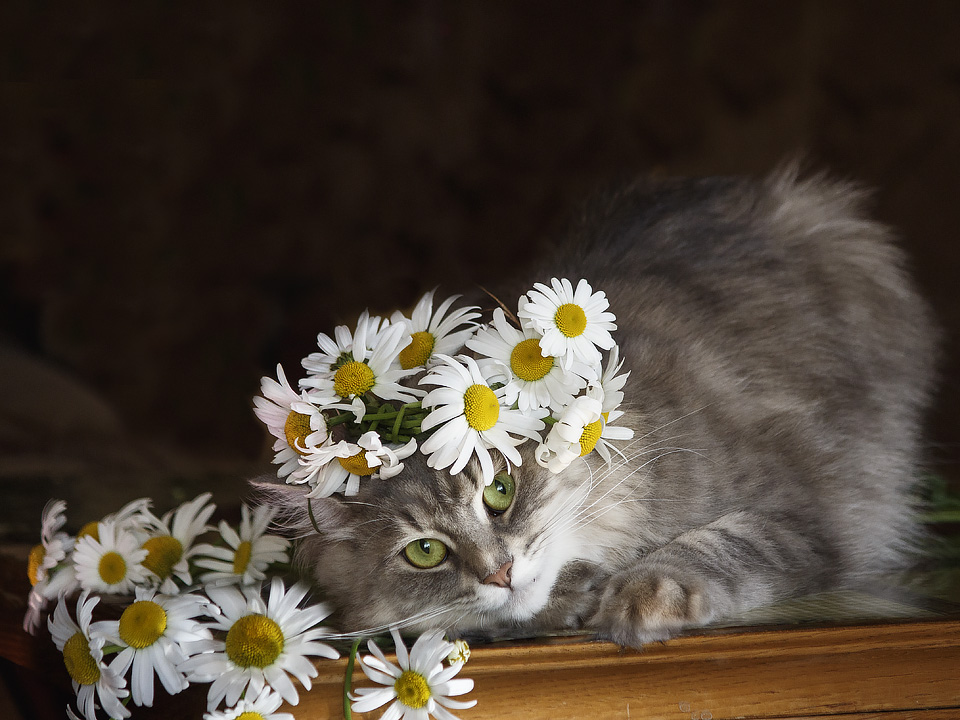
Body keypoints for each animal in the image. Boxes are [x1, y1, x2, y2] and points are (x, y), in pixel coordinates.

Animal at [255, 167, 936, 648]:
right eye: (425, 553)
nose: (499, 572)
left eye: (499, 491)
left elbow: (717, 545)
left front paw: (640, 598)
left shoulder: (806, 508)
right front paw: (567, 600)